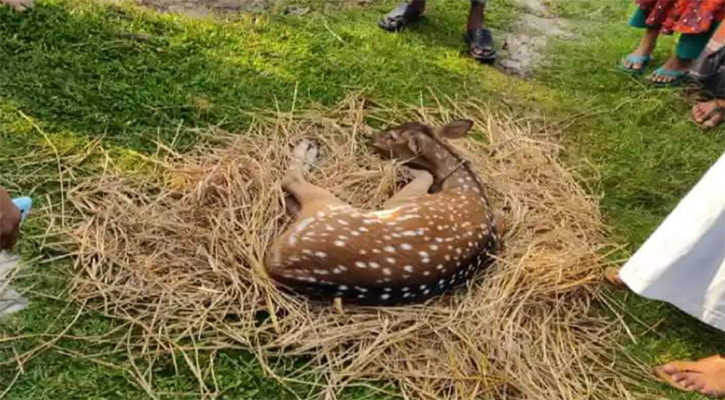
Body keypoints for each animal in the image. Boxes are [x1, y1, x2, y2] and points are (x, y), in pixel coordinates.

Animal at [266, 120, 504, 304]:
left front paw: (404, 168)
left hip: (327, 206)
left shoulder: (402, 201)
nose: (370, 136)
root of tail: (279, 267)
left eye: (391, 137)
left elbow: (425, 174)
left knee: (289, 181)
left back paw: (307, 147)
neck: (465, 186)